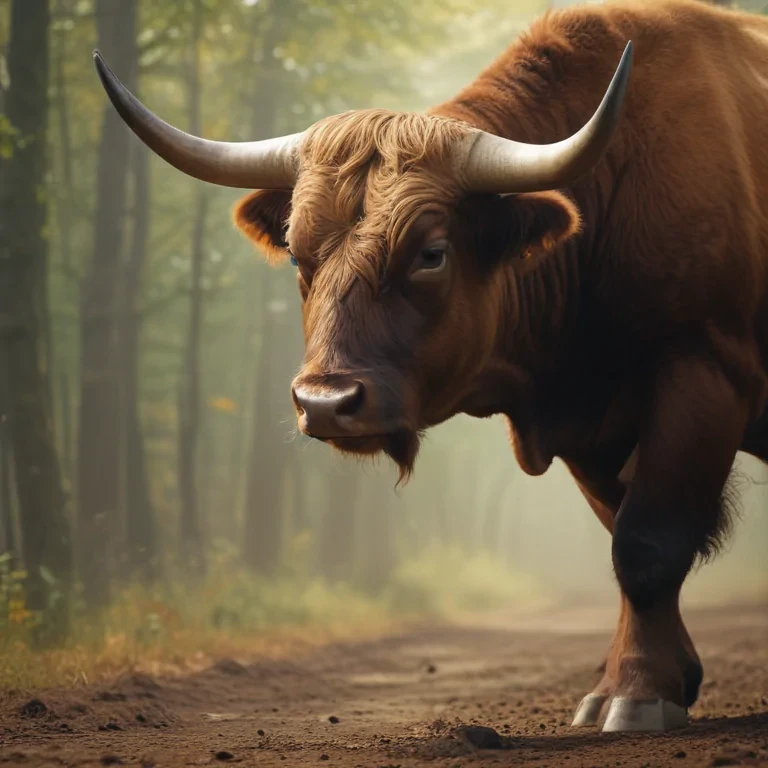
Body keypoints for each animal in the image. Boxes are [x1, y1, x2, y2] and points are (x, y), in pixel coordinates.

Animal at [94, 0, 768, 734]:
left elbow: (646, 546)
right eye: (298, 253)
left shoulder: (701, 370)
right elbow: (624, 540)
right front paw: (637, 680)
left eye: (431, 253)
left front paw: (641, 691)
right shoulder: (596, 431)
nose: (326, 402)